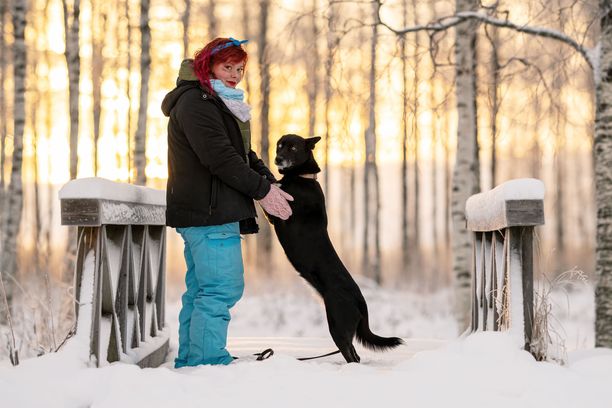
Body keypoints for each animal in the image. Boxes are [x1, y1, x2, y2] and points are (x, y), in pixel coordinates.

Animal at [266, 134, 402, 364]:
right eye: (279, 145)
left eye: (292, 148)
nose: (277, 159)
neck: (301, 177)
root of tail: (361, 301)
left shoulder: (278, 215)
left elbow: (270, 188)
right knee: (354, 354)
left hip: (337, 325)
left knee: (351, 354)